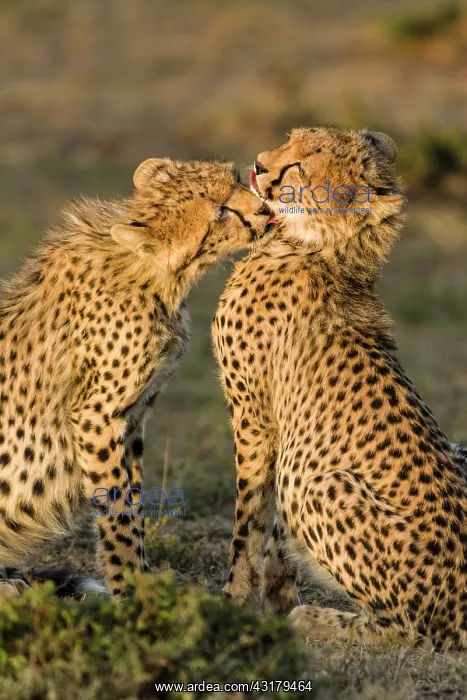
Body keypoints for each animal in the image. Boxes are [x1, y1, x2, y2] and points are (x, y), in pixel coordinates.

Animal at [0, 156, 273, 596]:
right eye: (220, 212)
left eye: (234, 180)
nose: (266, 211)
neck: (156, 279)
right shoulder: (94, 417)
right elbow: (118, 509)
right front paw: (130, 587)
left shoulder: (133, 418)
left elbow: (134, 499)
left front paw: (142, 577)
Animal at [212, 126, 467, 649]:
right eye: (290, 140)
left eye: (299, 168)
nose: (259, 164)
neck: (311, 246)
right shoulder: (282, 438)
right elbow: (274, 536)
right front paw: (274, 598)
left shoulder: (254, 422)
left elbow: (247, 525)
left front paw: (232, 605)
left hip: (322, 486)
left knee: (409, 632)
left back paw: (313, 619)